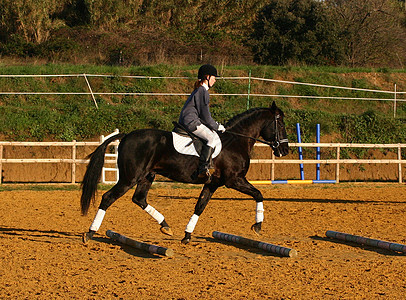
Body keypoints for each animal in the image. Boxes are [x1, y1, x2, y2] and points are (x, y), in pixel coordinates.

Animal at [80, 101, 288, 244]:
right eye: (281, 125)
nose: (284, 151)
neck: (236, 141)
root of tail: (127, 135)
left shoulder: (212, 183)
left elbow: (200, 206)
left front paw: (187, 235)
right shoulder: (234, 180)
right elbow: (259, 194)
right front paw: (258, 226)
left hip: (147, 176)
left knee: (139, 199)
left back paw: (166, 226)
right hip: (129, 178)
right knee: (108, 197)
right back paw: (90, 232)